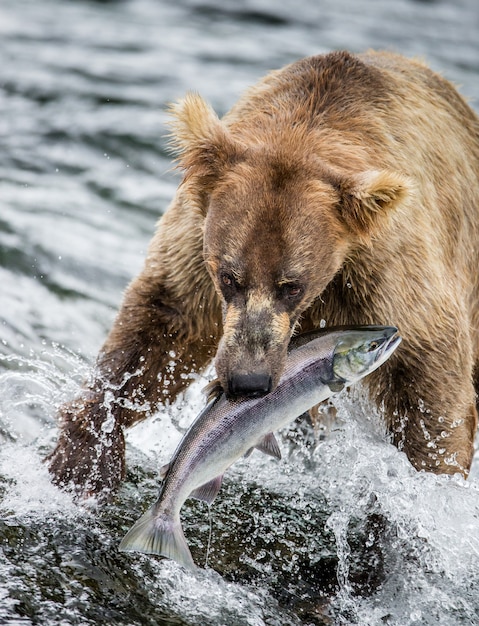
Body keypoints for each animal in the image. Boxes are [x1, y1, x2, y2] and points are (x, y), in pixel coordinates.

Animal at [47, 48, 479, 500]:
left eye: (292, 286)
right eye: (229, 277)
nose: (247, 382)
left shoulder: (384, 271)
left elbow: (427, 379)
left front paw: (425, 492)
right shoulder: (196, 244)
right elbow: (162, 326)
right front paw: (84, 457)